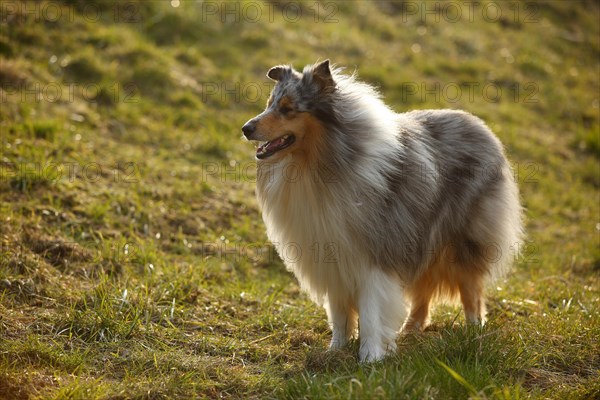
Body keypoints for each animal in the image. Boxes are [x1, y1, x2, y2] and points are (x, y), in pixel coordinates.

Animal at [241, 60, 524, 362]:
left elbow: (371, 310)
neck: (320, 163)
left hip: (462, 240)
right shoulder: (332, 255)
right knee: (424, 289)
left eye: (287, 108)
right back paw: (410, 329)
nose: (246, 128)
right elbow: (339, 313)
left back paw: (473, 331)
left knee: (471, 289)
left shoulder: (376, 254)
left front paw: (370, 358)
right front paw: (335, 350)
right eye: (269, 104)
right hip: (424, 237)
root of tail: (480, 125)